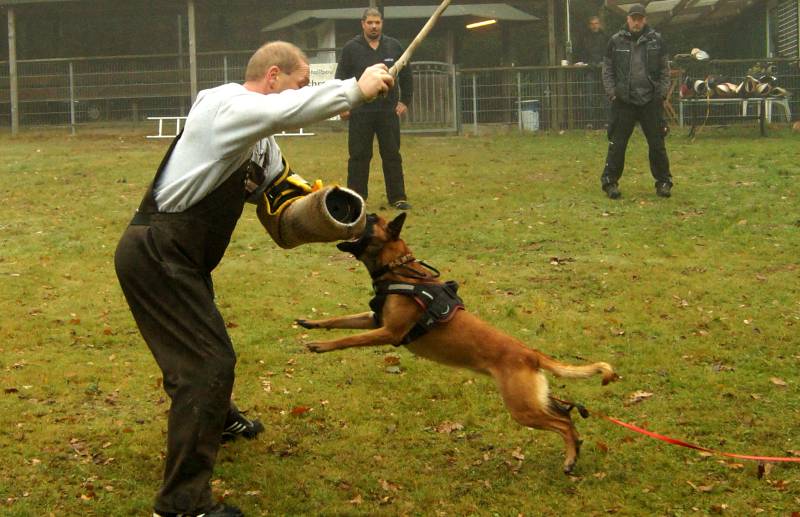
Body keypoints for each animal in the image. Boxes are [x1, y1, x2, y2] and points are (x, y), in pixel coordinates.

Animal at [296, 213, 617, 474]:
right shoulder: (375, 321)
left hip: (522, 408)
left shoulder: (389, 332)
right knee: (566, 415)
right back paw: (575, 449)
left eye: (372, 219)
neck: (398, 271)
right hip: (534, 401)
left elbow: (348, 338)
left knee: (563, 423)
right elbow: (339, 320)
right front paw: (311, 324)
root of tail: (531, 354)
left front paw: (321, 346)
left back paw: (570, 458)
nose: (358, 212)